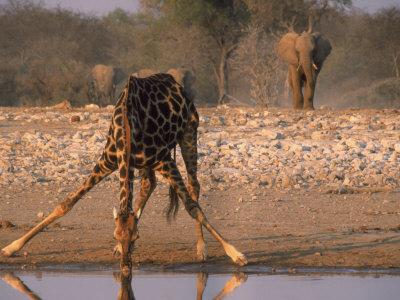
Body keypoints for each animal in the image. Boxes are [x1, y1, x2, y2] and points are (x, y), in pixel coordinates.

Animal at [1, 72, 247, 272]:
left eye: (136, 236)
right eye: (114, 235)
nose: (126, 267)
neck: (126, 129)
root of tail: (176, 83)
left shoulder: (165, 160)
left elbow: (191, 207)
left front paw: (236, 254)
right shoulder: (107, 162)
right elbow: (66, 203)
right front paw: (10, 248)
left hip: (189, 132)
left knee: (193, 186)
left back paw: (201, 248)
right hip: (145, 164)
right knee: (149, 184)